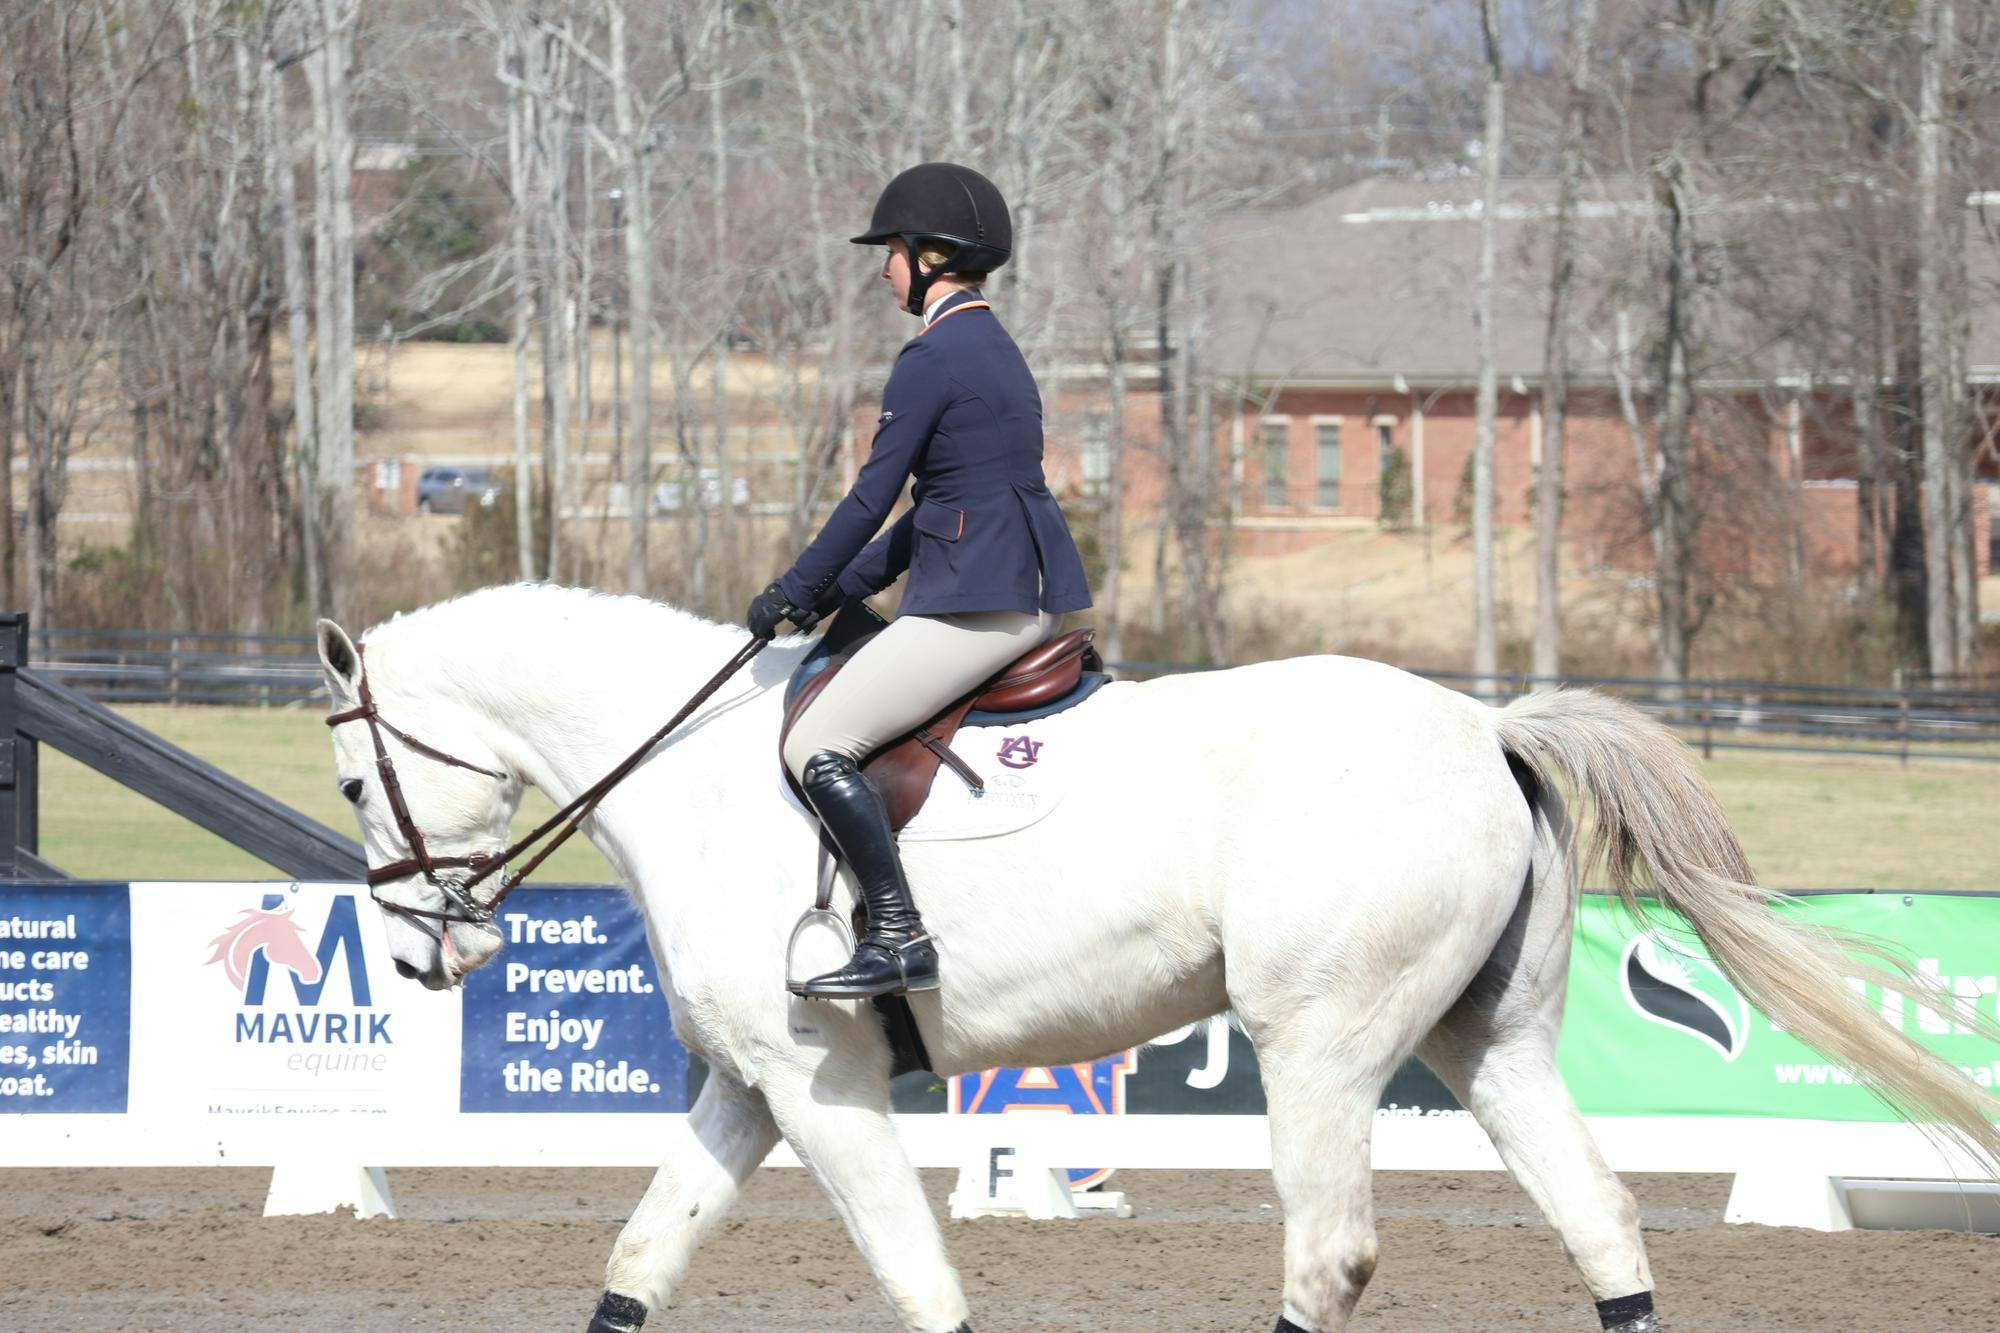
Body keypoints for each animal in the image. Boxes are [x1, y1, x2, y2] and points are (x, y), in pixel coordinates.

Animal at [313, 583, 1999, 1333]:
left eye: (347, 782)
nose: (416, 959)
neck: (693, 765)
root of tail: (1485, 727)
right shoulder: (748, 1084)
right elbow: (637, 1260)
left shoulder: (819, 1084)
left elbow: (917, 1277)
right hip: (1489, 1041)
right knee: (1601, 1223)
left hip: (1322, 1045)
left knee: (1328, 1254)